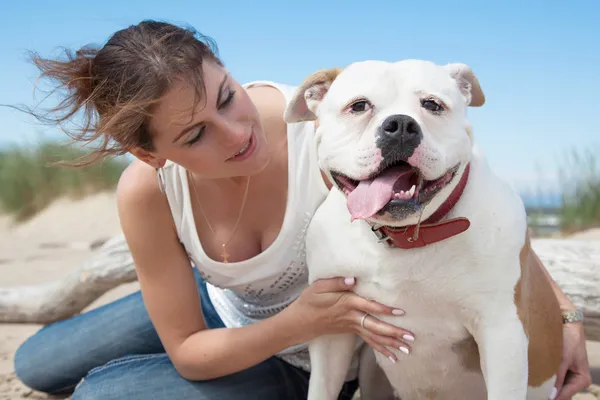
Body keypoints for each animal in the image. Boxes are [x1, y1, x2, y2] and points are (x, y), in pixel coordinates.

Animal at [284, 60, 564, 400]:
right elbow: (322, 386)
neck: (401, 238)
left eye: (432, 105)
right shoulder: (332, 328)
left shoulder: (502, 334)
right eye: (359, 106)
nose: (401, 125)